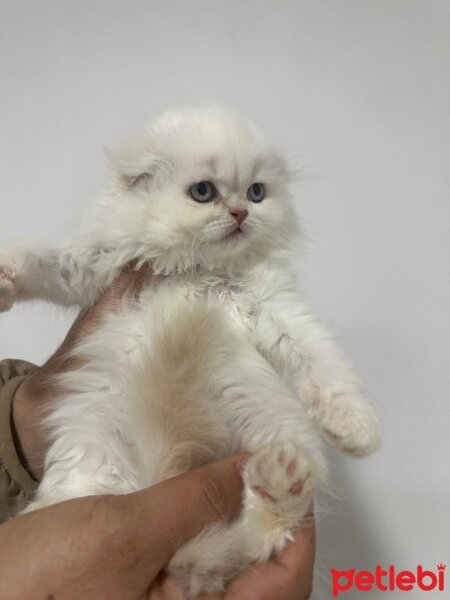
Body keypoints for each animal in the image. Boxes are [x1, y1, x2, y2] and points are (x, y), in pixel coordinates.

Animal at [0, 106, 380, 596]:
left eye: (256, 193)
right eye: (203, 192)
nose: (240, 212)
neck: (197, 267)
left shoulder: (272, 307)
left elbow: (322, 361)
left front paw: (358, 431)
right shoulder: (94, 265)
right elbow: (43, 261)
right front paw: (3, 278)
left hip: (274, 424)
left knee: (264, 534)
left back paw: (279, 481)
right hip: (94, 446)